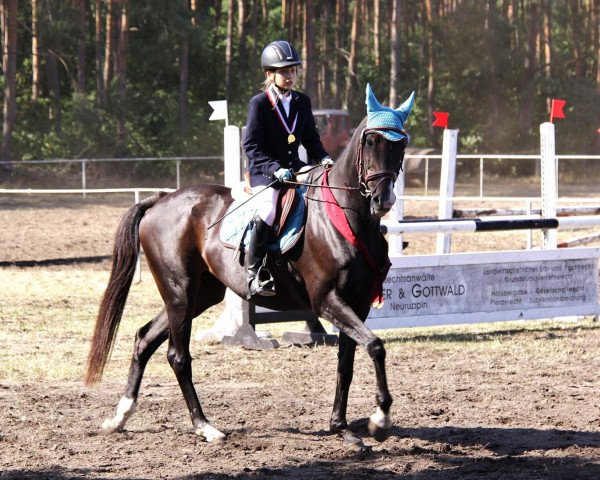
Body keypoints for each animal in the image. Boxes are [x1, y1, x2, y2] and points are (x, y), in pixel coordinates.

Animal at [86, 84, 414, 448]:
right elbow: (375, 346)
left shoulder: (357, 303)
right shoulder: (326, 300)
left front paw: (341, 427)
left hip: (199, 295)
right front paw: (380, 420)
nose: (383, 200)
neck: (345, 215)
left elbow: (348, 362)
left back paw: (120, 416)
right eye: (370, 141)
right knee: (177, 356)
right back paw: (204, 426)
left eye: (401, 144)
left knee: (144, 340)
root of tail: (160, 200)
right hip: (180, 292)